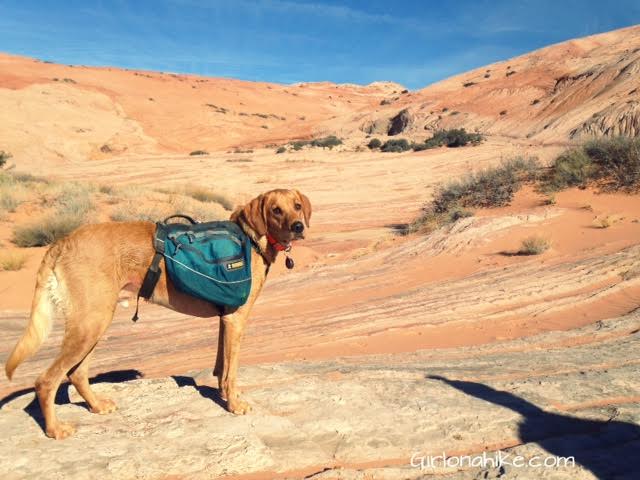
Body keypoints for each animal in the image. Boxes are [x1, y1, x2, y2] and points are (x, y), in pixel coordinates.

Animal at [3, 188, 312, 438]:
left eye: (297, 205)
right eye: (276, 210)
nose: (298, 226)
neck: (251, 240)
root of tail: (63, 241)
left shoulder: (225, 321)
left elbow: (221, 367)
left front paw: (225, 395)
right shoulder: (236, 319)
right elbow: (231, 371)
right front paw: (234, 404)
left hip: (94, 322)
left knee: (76, 373)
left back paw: (97, 406)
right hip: (90, 324)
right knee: (46, 380)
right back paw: (55, 429)